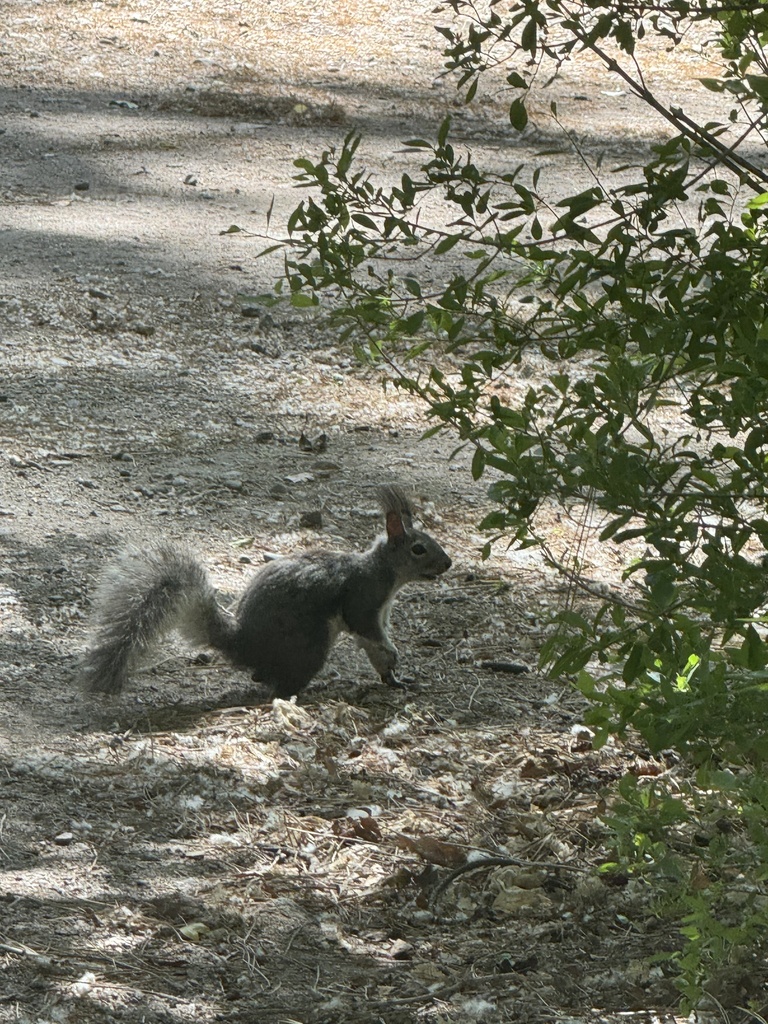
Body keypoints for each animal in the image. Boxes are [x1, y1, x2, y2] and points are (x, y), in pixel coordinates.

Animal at [79, 485, 450, 696]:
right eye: (419, 549)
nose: (447, 564)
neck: (384, 572)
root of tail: (244, 645)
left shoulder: (381, 612)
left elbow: (376, 648)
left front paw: (394, 676)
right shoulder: (363, 600)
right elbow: (368, 630)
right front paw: (393, 654)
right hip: (310, 644)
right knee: (277, 684)